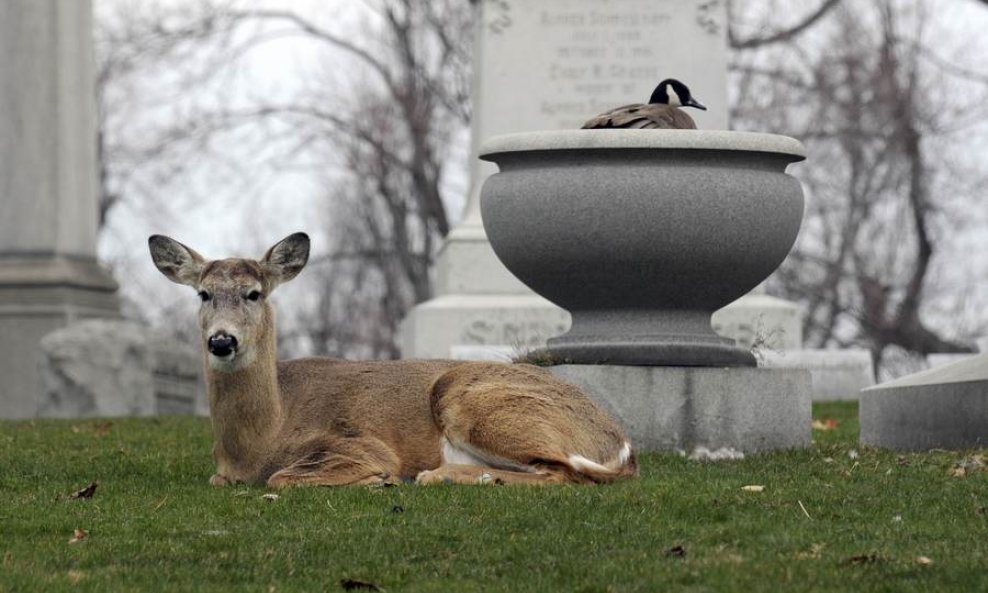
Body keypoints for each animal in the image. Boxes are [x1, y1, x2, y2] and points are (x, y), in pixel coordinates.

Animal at [150, 231, 636, 486]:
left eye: (254, 293)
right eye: (203, 293)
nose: (222, 341)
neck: (259, 441)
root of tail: (621, 445)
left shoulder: (360, 442)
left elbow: (282, 477)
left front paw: (377, 481)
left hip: (471, 399)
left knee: (561, 474)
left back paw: (434, 476)